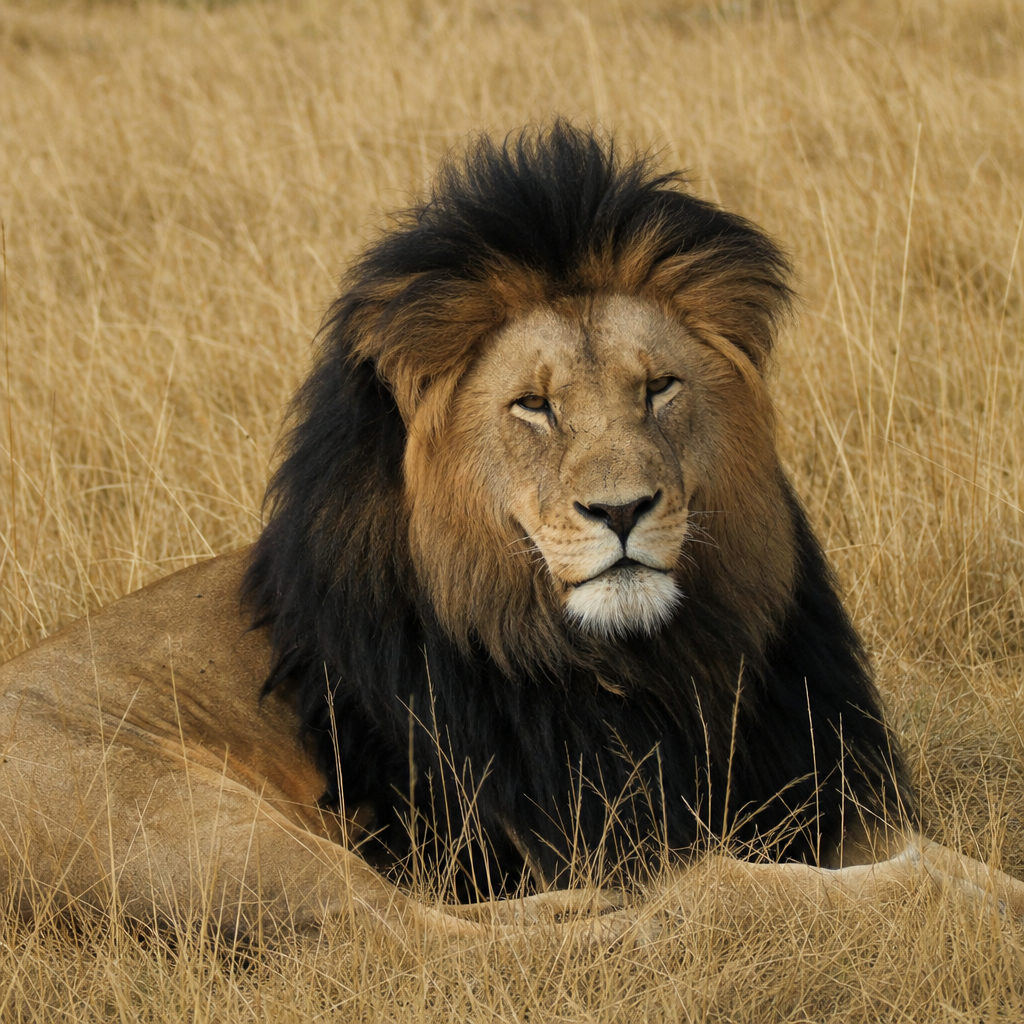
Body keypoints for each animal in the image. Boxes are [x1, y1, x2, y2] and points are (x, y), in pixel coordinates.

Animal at [2, 123, 1023, 942]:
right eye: (534, 406)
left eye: (660, 388)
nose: (622, 511)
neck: (657, 664)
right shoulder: (601, 827)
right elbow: (849, 877)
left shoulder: (799, 785)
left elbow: (954, 857)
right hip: (193, 822)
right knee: (417, 942)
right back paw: (645, 916)